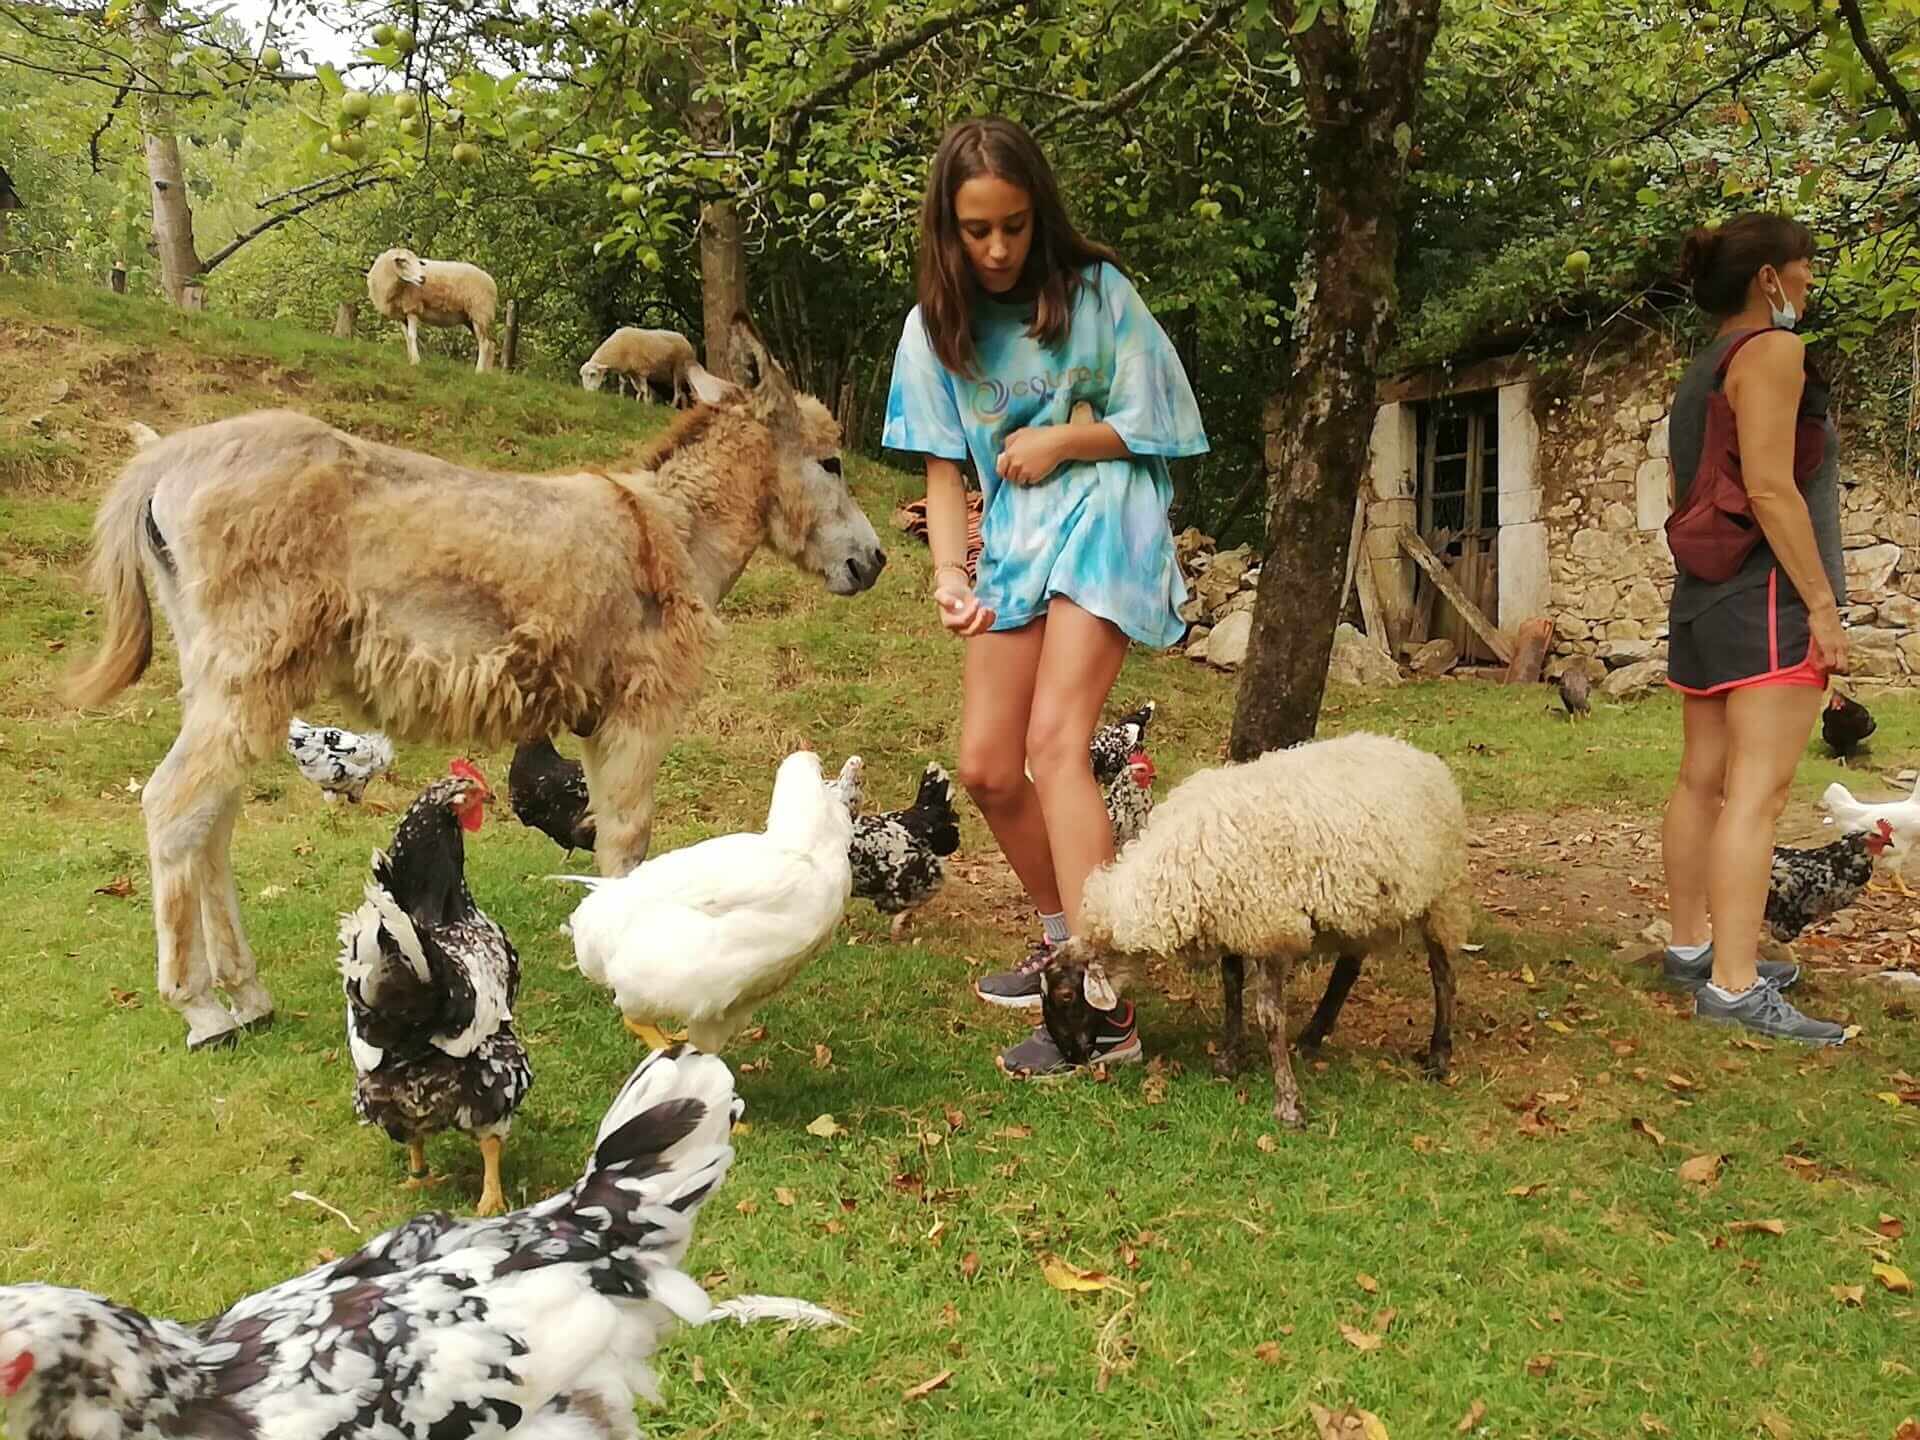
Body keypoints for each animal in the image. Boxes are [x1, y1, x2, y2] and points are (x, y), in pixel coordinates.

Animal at [366, 249, 499, 374]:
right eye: (404, 261)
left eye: (418, 262)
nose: (423, 278)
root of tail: (491, 281)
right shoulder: (402, 315)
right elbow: (407, 337)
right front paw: (410, 359)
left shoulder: (413, 308)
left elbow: (412, 336)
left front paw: (415, 362)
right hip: (471, 318)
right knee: (491, 343)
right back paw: (488, 373)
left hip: (480, 312)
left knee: (484, 343)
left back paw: (479, 371)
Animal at [1036, 737, 1466, 1136]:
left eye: (1066, 996)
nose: (1072, 1058)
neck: (1168, 873)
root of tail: (1417, 754)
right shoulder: (1231, 923)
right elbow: (1231, 987)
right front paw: (1229, 1058)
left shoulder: (1270, 928)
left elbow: (1269, 1016)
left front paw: (1288, 1103)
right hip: (1359, 903)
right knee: (1349, 967)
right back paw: (1313, 1035)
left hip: (1440, 895)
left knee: (1443, 975)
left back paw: (1438, 1055)